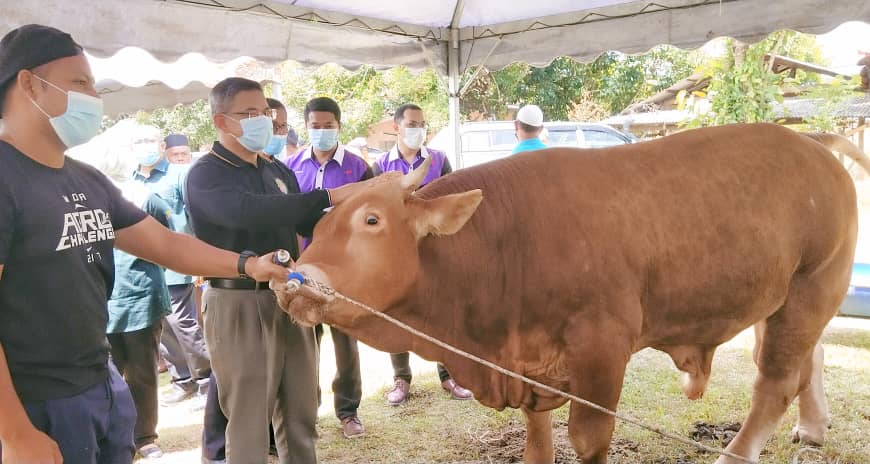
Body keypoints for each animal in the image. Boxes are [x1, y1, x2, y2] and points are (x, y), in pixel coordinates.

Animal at [274, 124, 860, 464]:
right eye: (320, 223)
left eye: (371, 220)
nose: (294, 278)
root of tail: (814, 144)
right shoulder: (530, 366)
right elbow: (537, 439)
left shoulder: (601, 351)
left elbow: (588, 438)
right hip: (787, 299)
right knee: (808, 362)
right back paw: (813, 428)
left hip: (813, 286)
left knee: (775, 383)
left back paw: (737, 454)